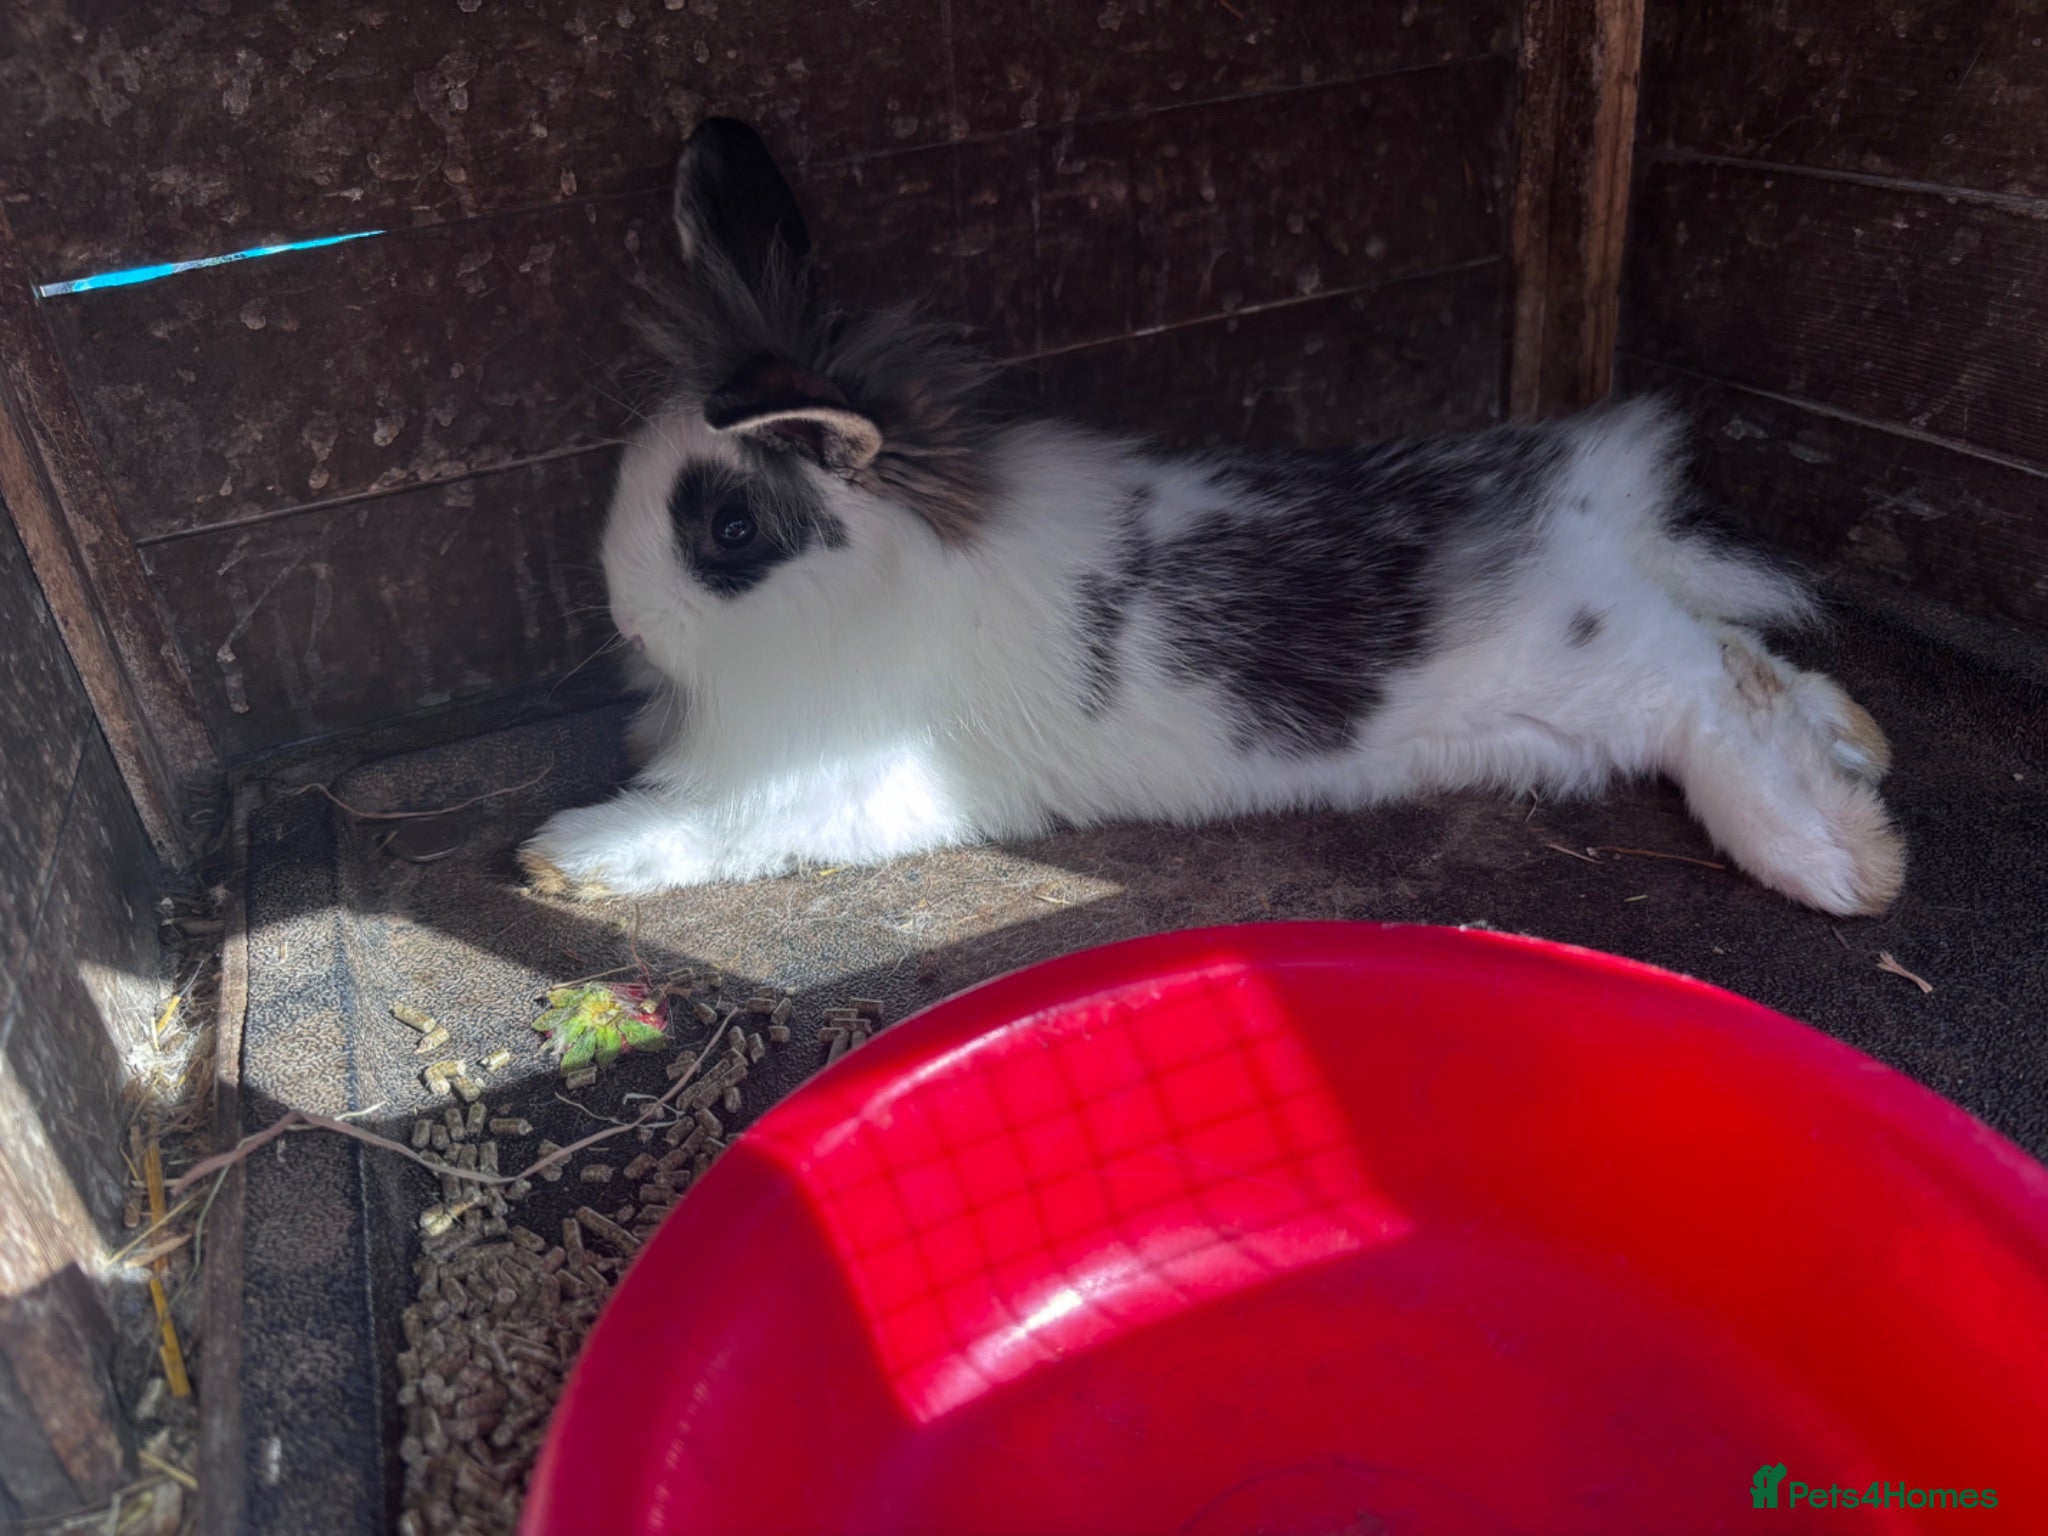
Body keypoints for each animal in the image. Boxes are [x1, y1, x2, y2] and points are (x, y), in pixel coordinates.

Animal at [521, 118, 1905, 918]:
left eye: (728, 533)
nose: (627, 624)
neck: (878, 588)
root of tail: (1585, 501)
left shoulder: (833, 781)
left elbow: (716, 827)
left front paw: (562, 855)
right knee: (1743, 661)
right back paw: (1857, 743)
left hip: (1595, 669)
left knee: (1707, 701)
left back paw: (1839, 863)